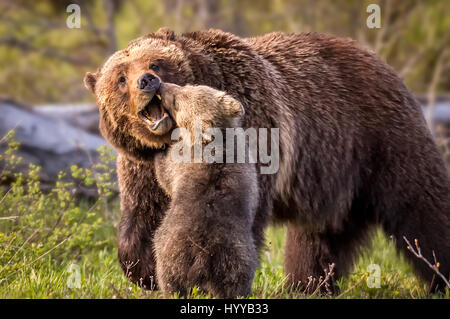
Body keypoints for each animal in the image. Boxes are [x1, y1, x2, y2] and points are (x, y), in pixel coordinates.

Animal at [83, 28, 450, 296]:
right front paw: (145, 271)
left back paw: (439, 275)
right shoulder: (138, 165)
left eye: (156, 62)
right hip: (333, 178)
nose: (147, 80)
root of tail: (379, 60)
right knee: (320, 236)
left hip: (381, 138)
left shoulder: (257, 129)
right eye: (120, 78)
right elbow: (142, 215)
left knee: (421, 203)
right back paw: (308, 284)